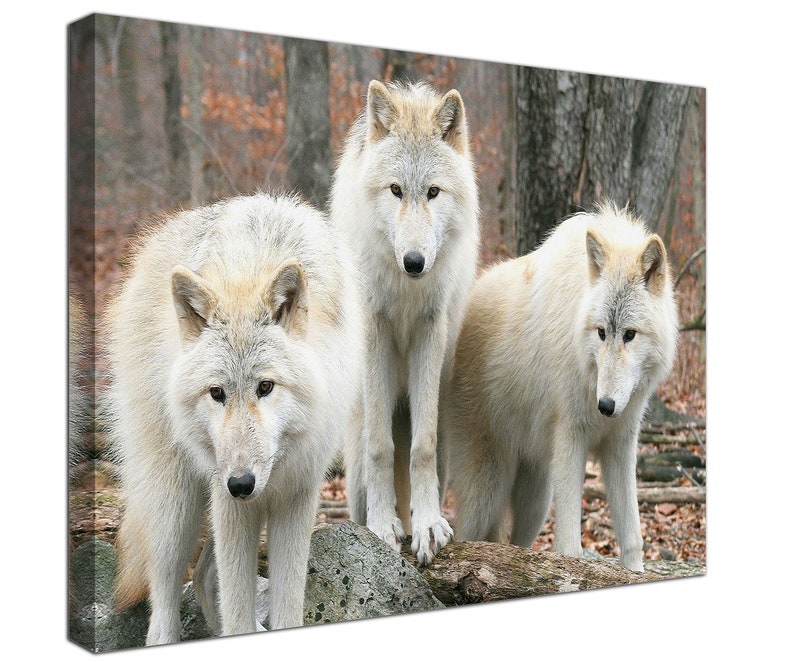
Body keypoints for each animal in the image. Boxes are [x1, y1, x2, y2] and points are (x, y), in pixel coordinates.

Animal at [104, 193, 364, 644]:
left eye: (265, 387)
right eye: (217, 393)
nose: (242, 483)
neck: (250, 267)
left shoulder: (297, 496)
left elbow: (286, 609)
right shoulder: (229, 502)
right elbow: (238, 611)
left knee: (205, 579)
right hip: (178, 505)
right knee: (165, 599)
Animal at [331, 80, 480, 565]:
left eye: (433, 192)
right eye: (396, 190)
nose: (414, 262)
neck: (404, 288)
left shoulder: (431, 333)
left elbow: (421, 448)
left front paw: (429, 526)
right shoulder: (375, 330)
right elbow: (383, 447)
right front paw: (382, 527)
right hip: (355, 451)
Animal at [442, 202, 678, 572]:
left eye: (629, 334)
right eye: (601, 332)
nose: (605, 406)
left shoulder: (621, 443)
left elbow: (633, 536)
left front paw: (635, 572)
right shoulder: (571, 437)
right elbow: (569, 546)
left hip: (537, 498)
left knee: (515, 543)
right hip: (488, 489)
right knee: (464, 536)